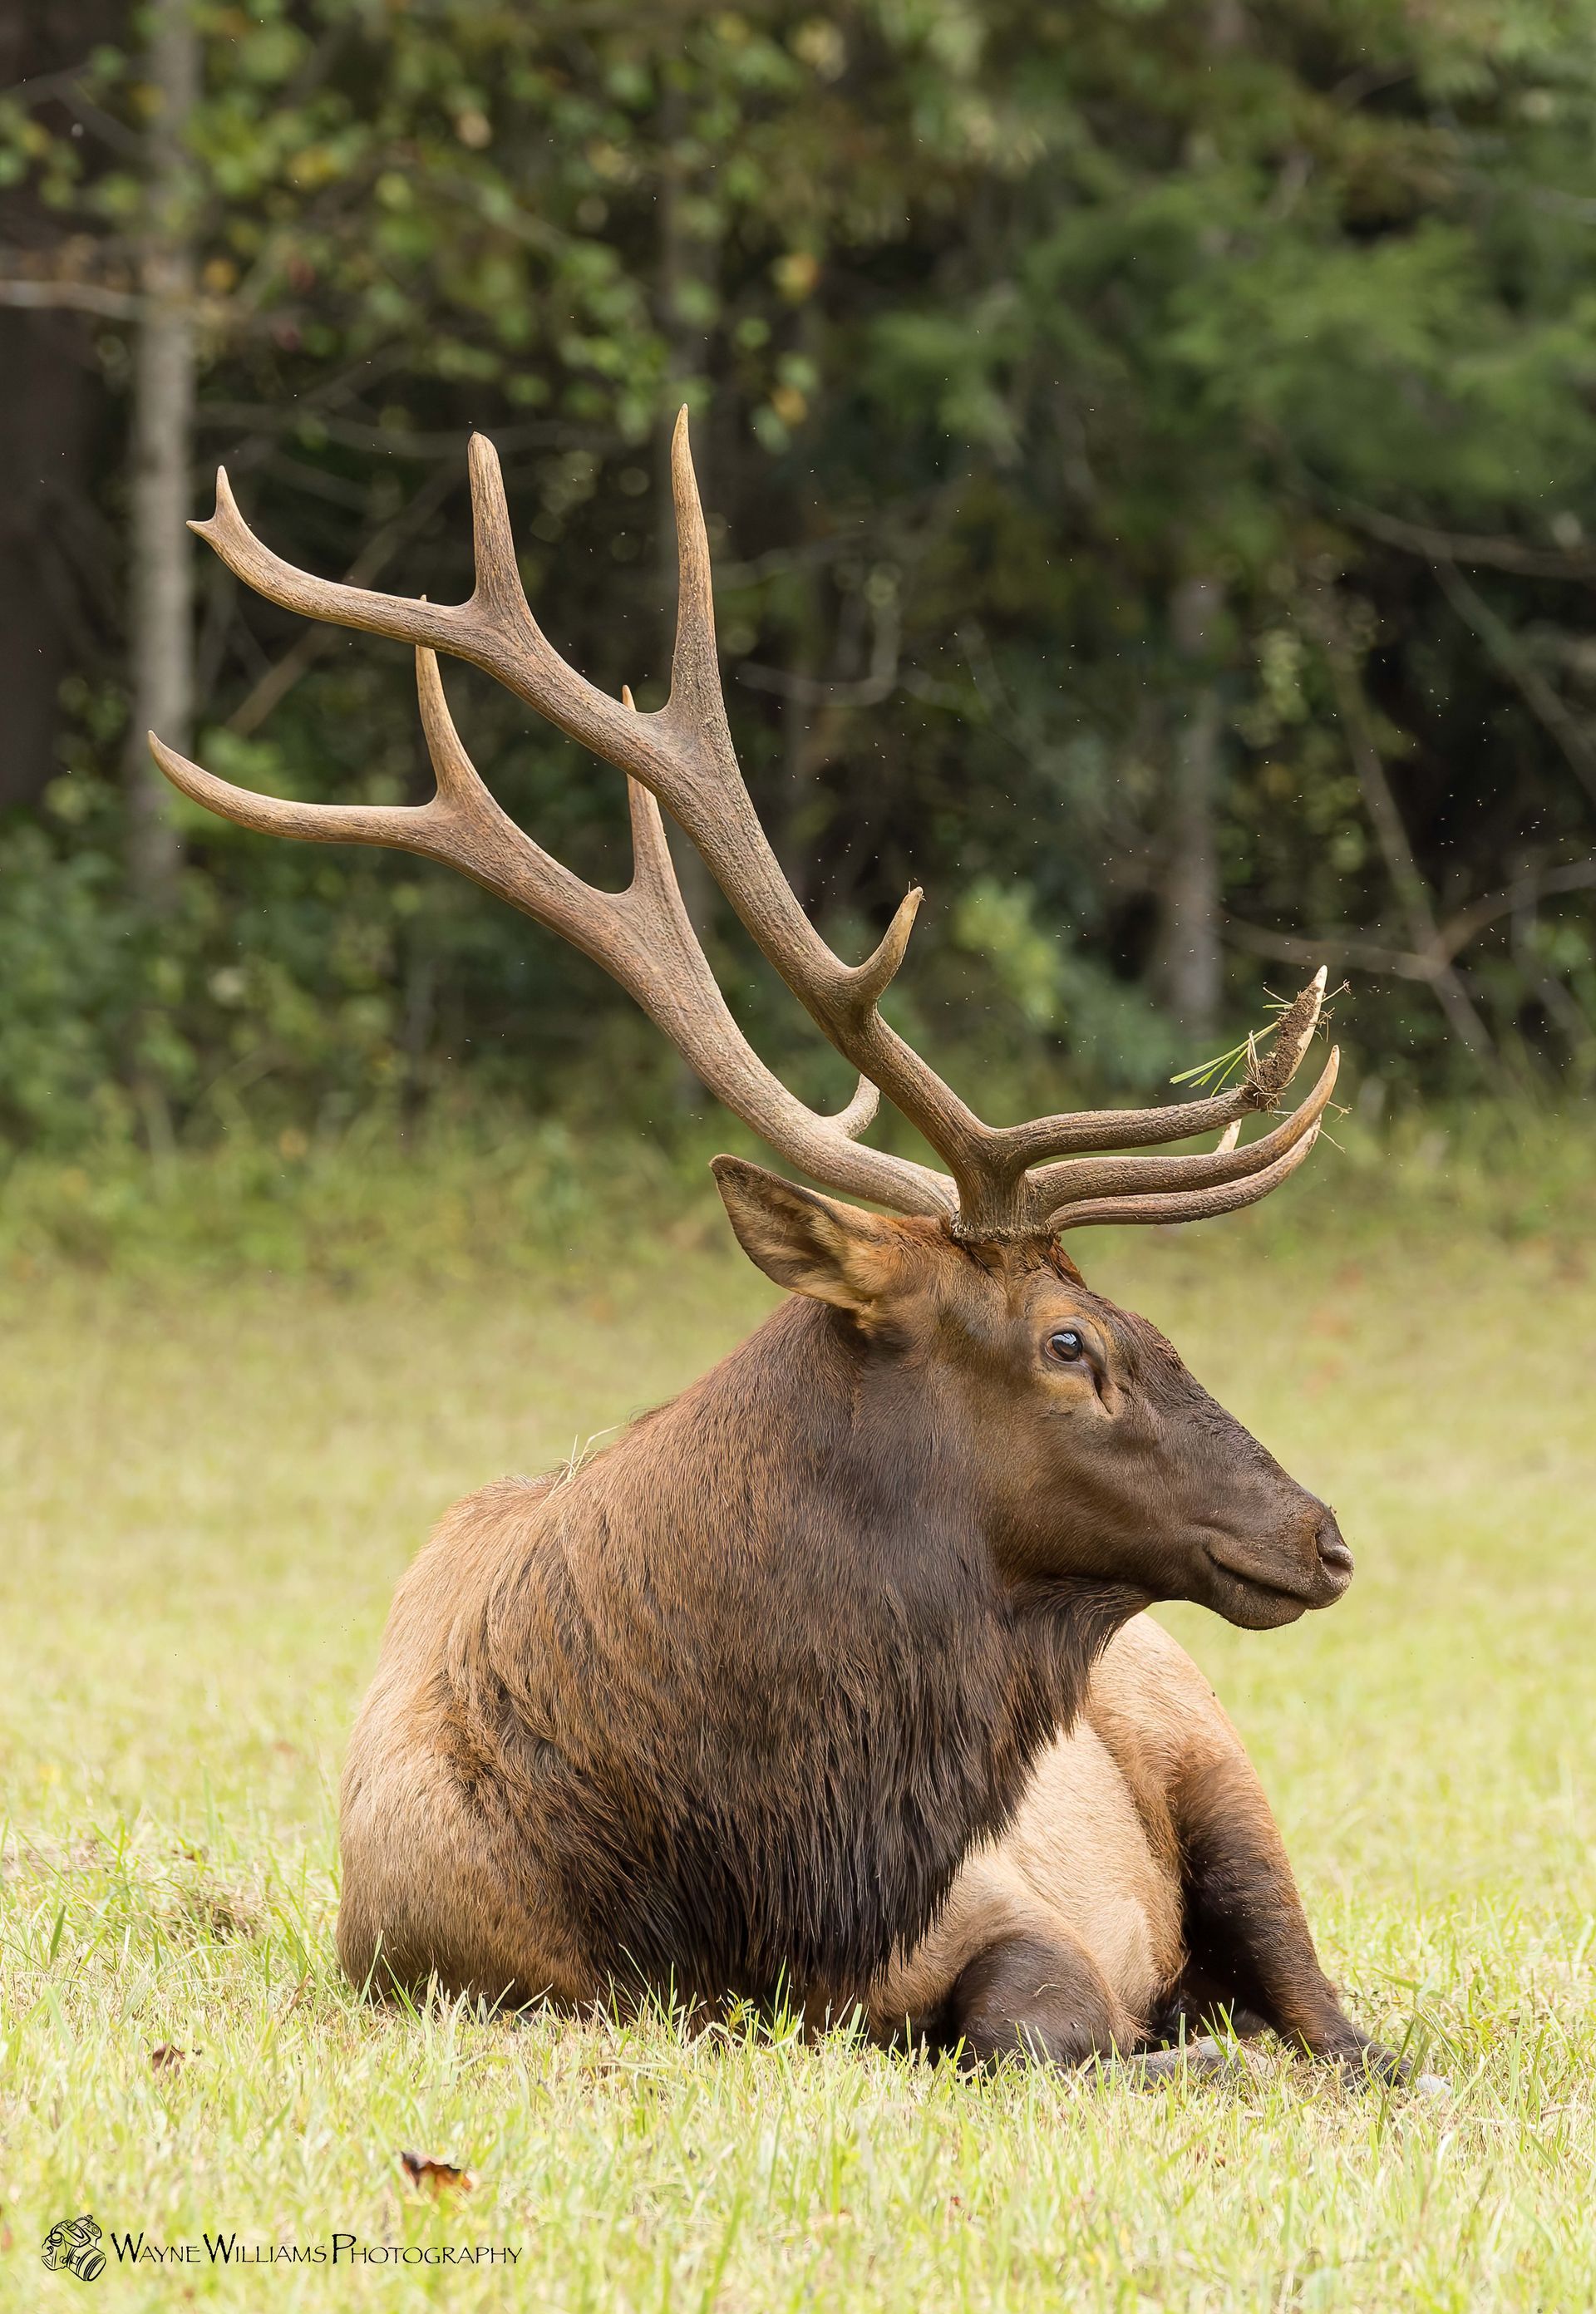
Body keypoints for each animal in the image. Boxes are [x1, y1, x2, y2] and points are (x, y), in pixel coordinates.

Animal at [148, 413, 1408, 2085]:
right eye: (1073, 1341)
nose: (1321, 1534)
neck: (740, 1882)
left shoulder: (1007, 1901)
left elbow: (1032, 2018)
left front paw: (1181, 2048)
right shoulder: (441, 1961)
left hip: (1217, 1759)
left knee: (1339, 2020)